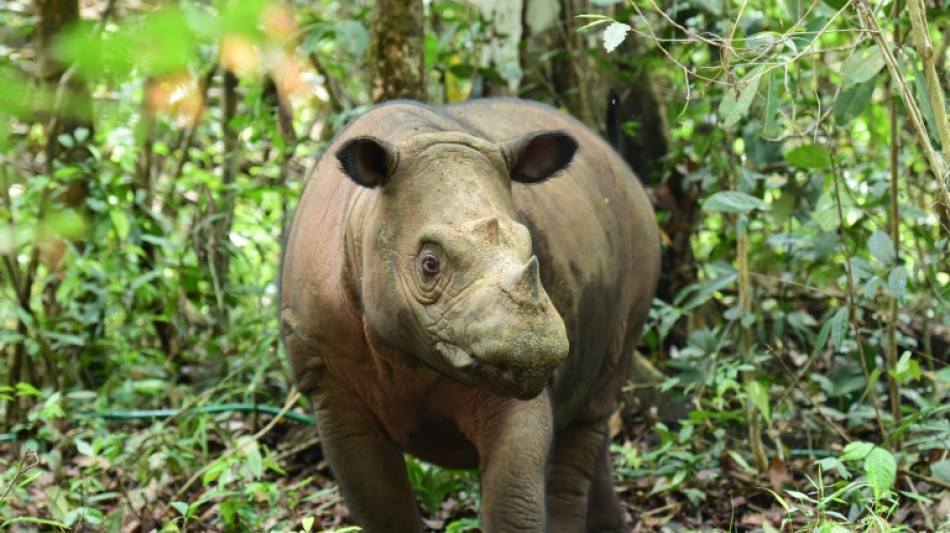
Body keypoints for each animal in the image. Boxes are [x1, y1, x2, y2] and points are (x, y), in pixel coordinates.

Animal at [278, 97, 660, 528]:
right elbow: (381, 507)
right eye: (429, 264)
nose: (537, 349)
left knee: (593, 411)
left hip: (641, 232)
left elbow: (514, 504)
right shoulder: (326, 376)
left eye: (531, 249)